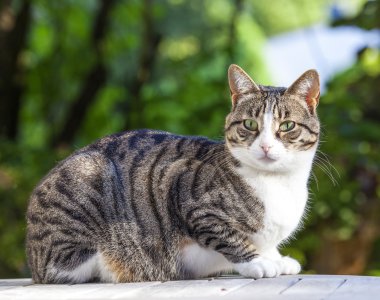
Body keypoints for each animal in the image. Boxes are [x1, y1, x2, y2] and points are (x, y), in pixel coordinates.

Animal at [25, 64, 320, 282]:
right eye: (249, 124)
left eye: (287, 125)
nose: (266, 146)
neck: (278, 184)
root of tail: (31, 251)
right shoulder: (189, 197)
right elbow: (229, 237)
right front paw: (257, 262)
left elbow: (268, 245)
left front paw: (277, 258)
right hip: (88, 179)